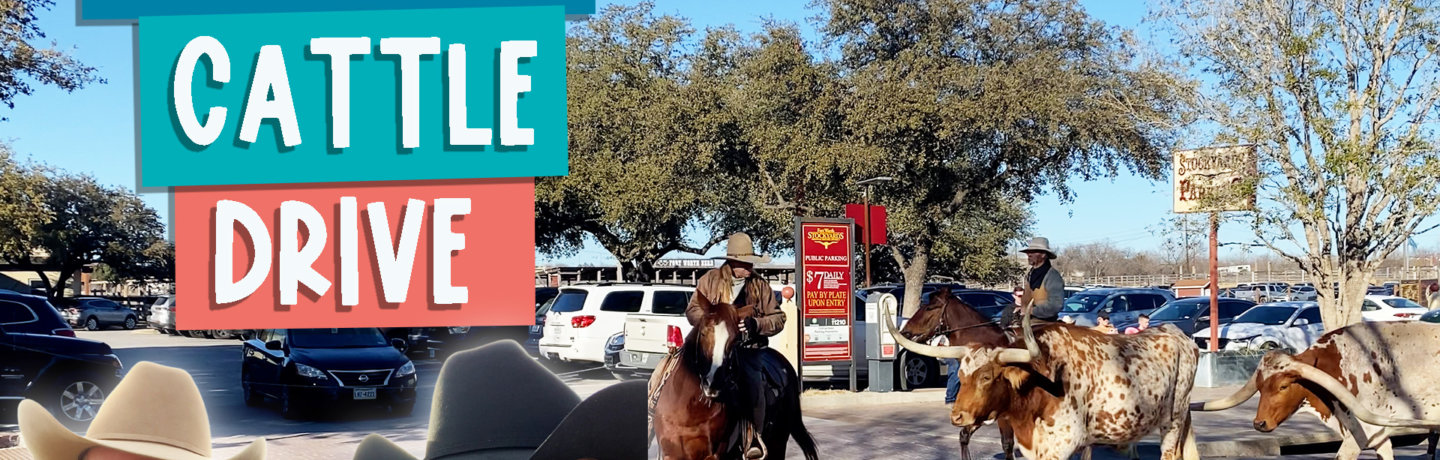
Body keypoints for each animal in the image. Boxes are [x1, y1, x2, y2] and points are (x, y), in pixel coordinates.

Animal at [650, 295, 817, 460]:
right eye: (703, 332)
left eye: (734, 340)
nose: (712, 383)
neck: (691, 410)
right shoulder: (671, 453)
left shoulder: (714, 454)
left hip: (778, 442)